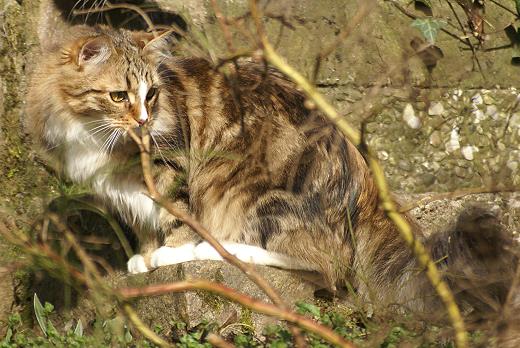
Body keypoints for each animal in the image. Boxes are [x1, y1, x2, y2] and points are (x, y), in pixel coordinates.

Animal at [27, 25, 516, 314]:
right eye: (119, 96)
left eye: (151, 95)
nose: (144, 120)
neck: (90, 132)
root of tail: (367, 187)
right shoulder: (124, 191)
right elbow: (147, 226)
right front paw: (143, 258)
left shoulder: (172, 166)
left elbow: (176, 218)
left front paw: (167, 254)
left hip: (255, 193)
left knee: (320, 265)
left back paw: (218, 248)